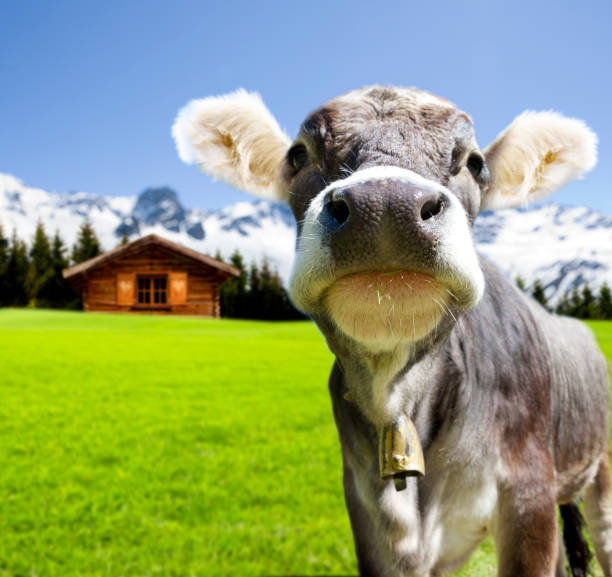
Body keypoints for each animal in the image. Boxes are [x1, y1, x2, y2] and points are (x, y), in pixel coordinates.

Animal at [171, 85, 612, 576]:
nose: (384, 206)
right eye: (298, 155)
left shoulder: (528, 496)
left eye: (475, 163)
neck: (396, 397)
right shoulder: (367, 512)